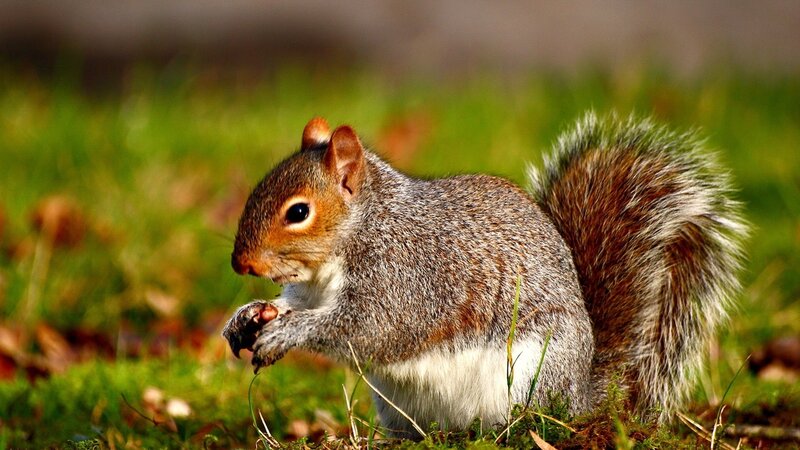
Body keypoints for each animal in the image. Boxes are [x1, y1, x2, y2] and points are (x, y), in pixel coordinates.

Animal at [222, 113, 748, 438]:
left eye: (298, 212)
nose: (240, 264)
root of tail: (581, 395)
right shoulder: (312, 288)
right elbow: (295, 304)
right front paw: (248, 315)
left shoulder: (407, 276)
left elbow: (370, 327)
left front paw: (287, 333)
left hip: (529, 375)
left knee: (531, 420)